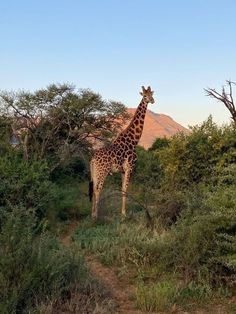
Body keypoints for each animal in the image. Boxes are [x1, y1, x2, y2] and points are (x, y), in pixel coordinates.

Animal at [89, 86, 155, 218]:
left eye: (152, 94)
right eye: (144, 95)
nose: (152, 100)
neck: (133, 140)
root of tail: (93, 159)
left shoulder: (122, 170)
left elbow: (122, 189)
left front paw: (122, 212)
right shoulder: (130, 167)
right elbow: (125, 190)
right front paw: (124, 214)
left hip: (94, 172)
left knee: (94, 188)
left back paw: (92, 213)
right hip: (102, 171)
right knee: (98, 189)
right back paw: (96, 215)